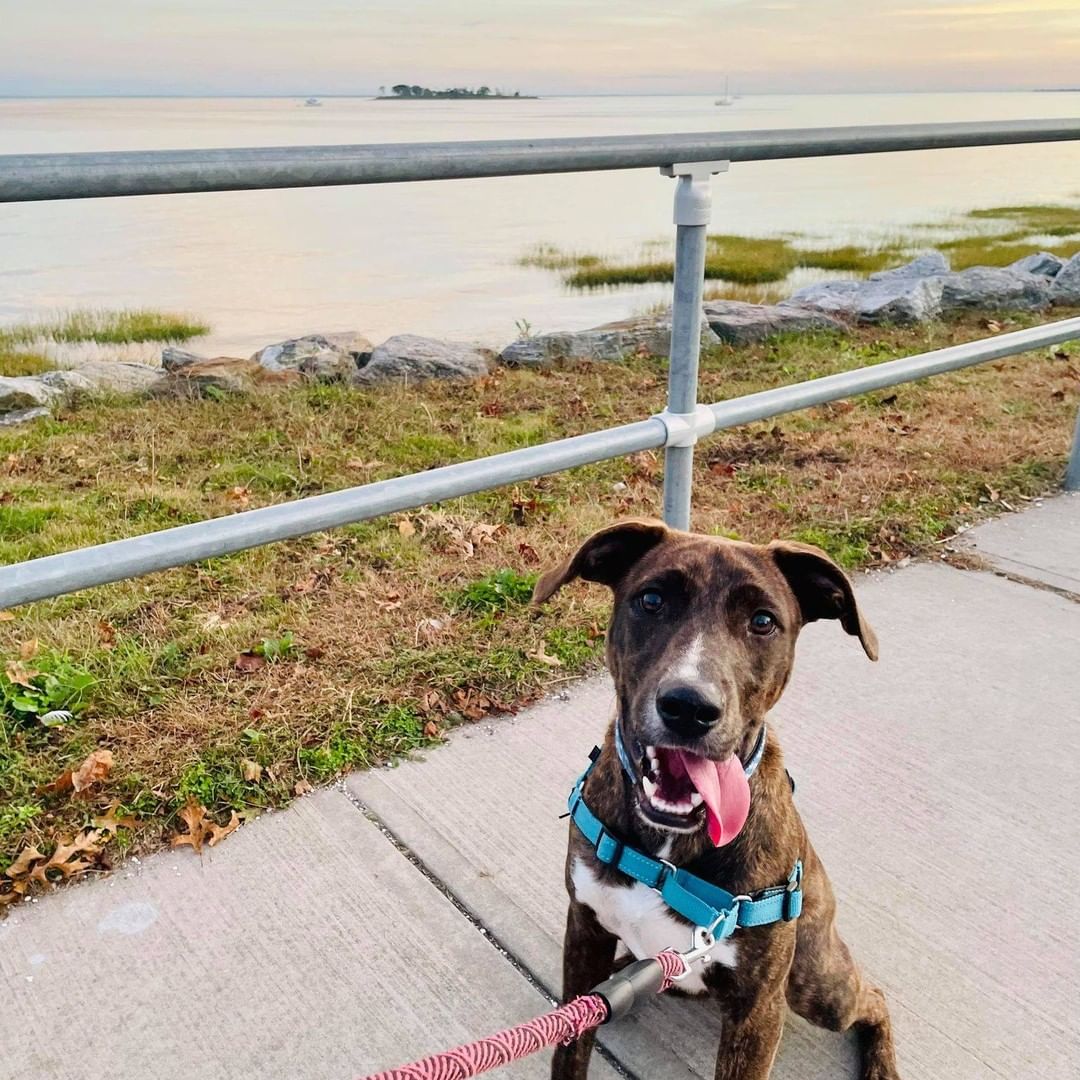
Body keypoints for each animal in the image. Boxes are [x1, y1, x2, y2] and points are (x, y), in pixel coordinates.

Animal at [535, 518, 898, 1080]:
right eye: (652, 599)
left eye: (764, 621)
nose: (689, 706)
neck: (666, 853)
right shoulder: (586, 932)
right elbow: (571, 1048)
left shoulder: (758, 1008)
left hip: (816, 983)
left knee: (874, 999)